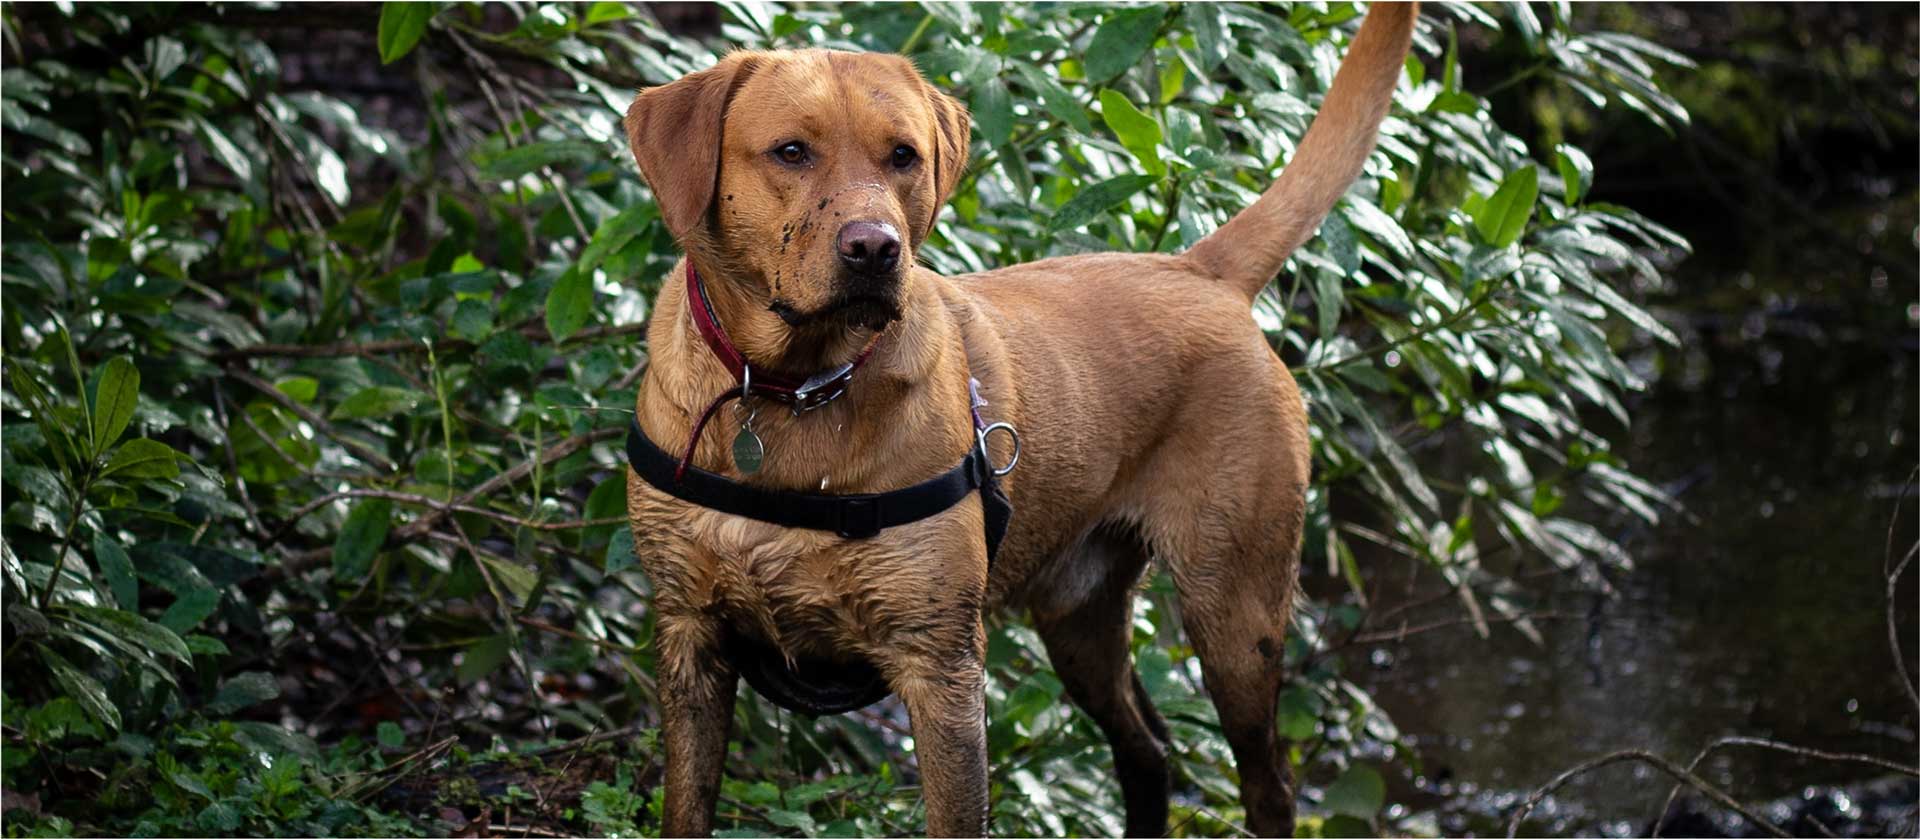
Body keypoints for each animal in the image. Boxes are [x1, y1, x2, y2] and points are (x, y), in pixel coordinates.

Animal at [622, 4, 1420, 829]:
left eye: (904, 156)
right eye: (790, 151)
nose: (876, 248)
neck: (793, 388)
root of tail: (1199, 270)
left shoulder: (940, 669)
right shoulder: (689, 637)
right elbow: (686, 807)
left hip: (1235, 615)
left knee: (1268, 784)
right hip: (1080, 619)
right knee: (1146, 750)